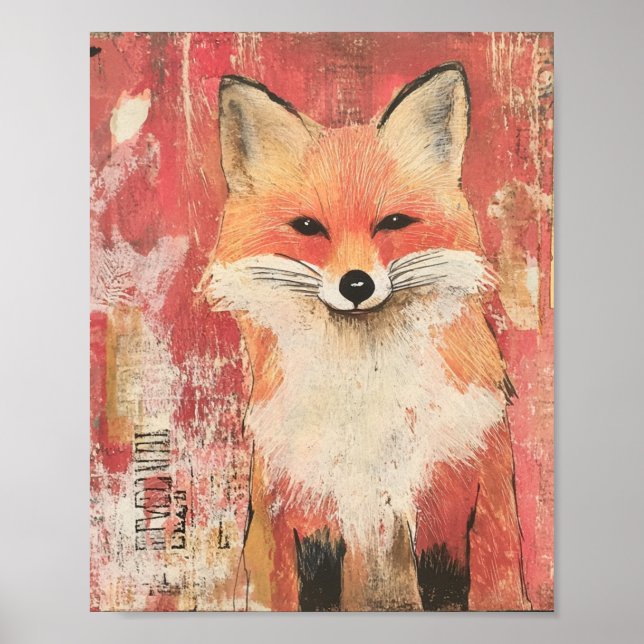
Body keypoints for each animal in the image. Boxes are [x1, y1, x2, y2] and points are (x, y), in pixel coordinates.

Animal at [199, 62, 532, 611]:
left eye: (393, 222)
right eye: (308, 227)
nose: (356, 285)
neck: (365, 386)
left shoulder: (468, 495)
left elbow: (477, 587)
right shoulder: (294, 509)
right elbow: (295, 591)